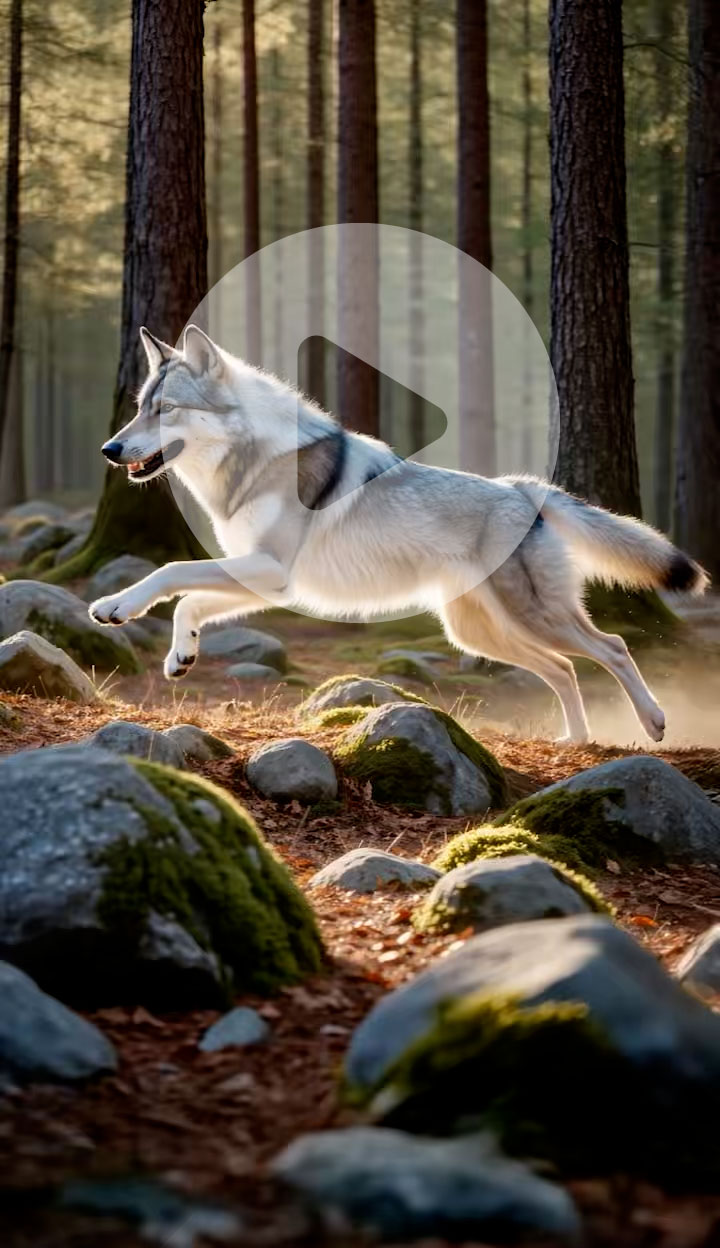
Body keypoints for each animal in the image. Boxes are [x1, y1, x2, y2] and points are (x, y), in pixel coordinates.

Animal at [90, 324, 708, 744]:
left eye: (166, 409)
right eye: (140, 408)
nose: (110, 449)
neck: (253, 461)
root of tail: (522, 489)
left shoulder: (271, 571)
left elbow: (172, 572)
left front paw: (116, 606)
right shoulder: (266, 581)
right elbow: (189, 601)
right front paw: (181, 655)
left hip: (533, 618)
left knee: (614, 647)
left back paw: (654, 723)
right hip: (478, 634)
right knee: (565, 668)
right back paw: (575, 739)